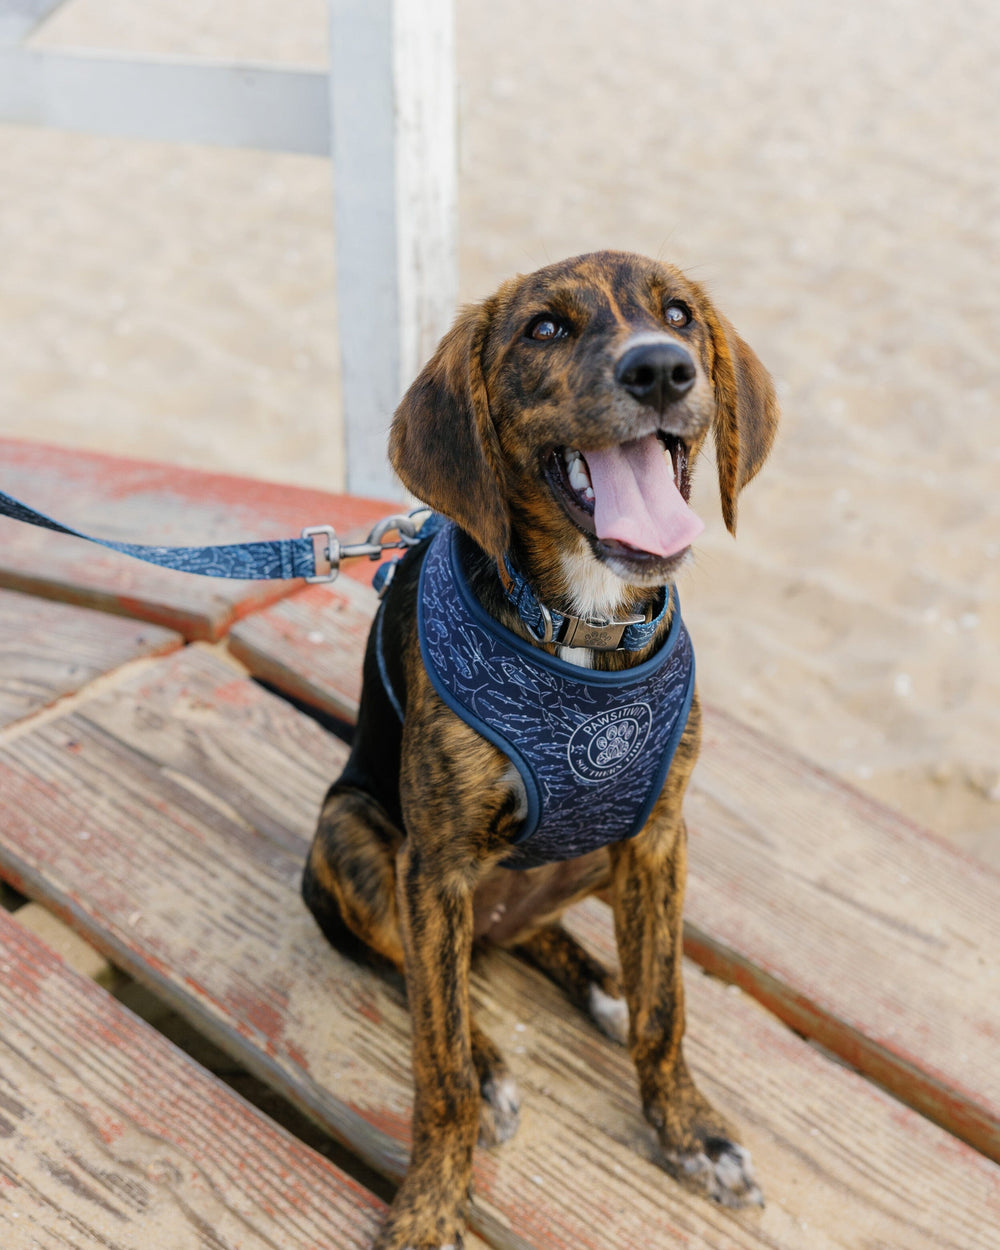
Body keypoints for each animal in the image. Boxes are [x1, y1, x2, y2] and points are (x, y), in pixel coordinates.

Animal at [301, 248, 775, 1245]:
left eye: (680, 314)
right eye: (545, 328)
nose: (662, 369)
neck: (581, 622)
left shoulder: (659, 835)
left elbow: (666, 1010)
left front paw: (691, 1133)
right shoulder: (434, 869)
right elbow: (436, 1066)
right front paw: (432, 1201)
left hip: (595, 856)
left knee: (542, 939)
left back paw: (603, 986)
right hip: (354, 836)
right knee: (421, 977)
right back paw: (490, 1062)